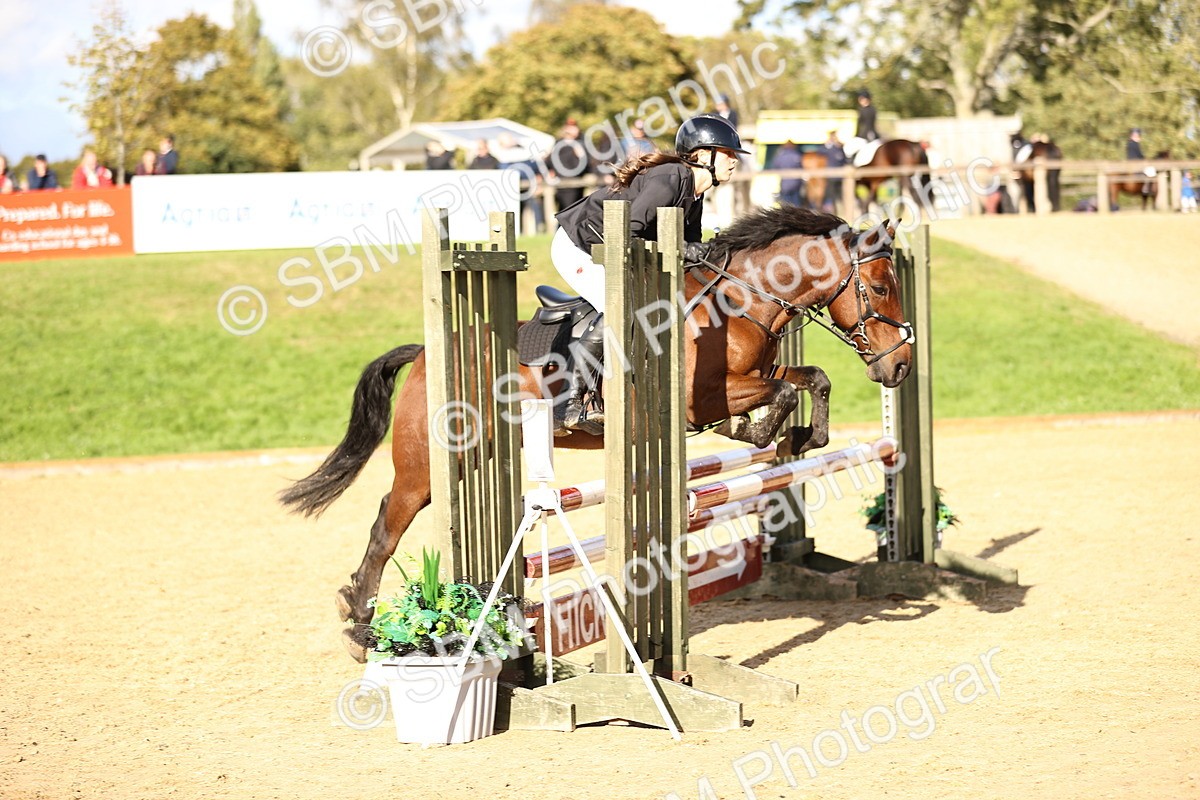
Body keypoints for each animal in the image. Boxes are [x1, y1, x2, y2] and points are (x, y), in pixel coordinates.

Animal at [278, 206, 914, 661]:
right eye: (881, 288)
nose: (901, 367)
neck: (736, 304)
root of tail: (424, 355)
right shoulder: (699, 399)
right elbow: (777, 397)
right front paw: (759, 430)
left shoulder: (756, 375)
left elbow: (813, 379)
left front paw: (800, 440)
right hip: (428, 467)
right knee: (387, 524)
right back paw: (360, 624)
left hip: (480, 458)